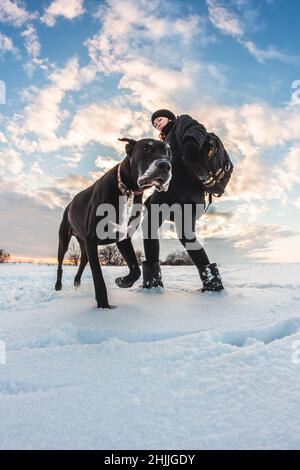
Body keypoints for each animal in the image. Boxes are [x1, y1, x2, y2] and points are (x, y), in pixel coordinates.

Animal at [54, 137, 171, 308]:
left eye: (168, 153)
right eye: (145, 148)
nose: (165, 165)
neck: (127, 189)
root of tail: (69, 205)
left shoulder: (123, 237)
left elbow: (136, 269)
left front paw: (123, 281)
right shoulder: (92, 239)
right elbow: (98, 277)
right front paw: (104, 306)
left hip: (84, 243)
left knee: (83, 261)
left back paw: (76, 282)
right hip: (64, 240)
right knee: (60, 263)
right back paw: (58, 285)